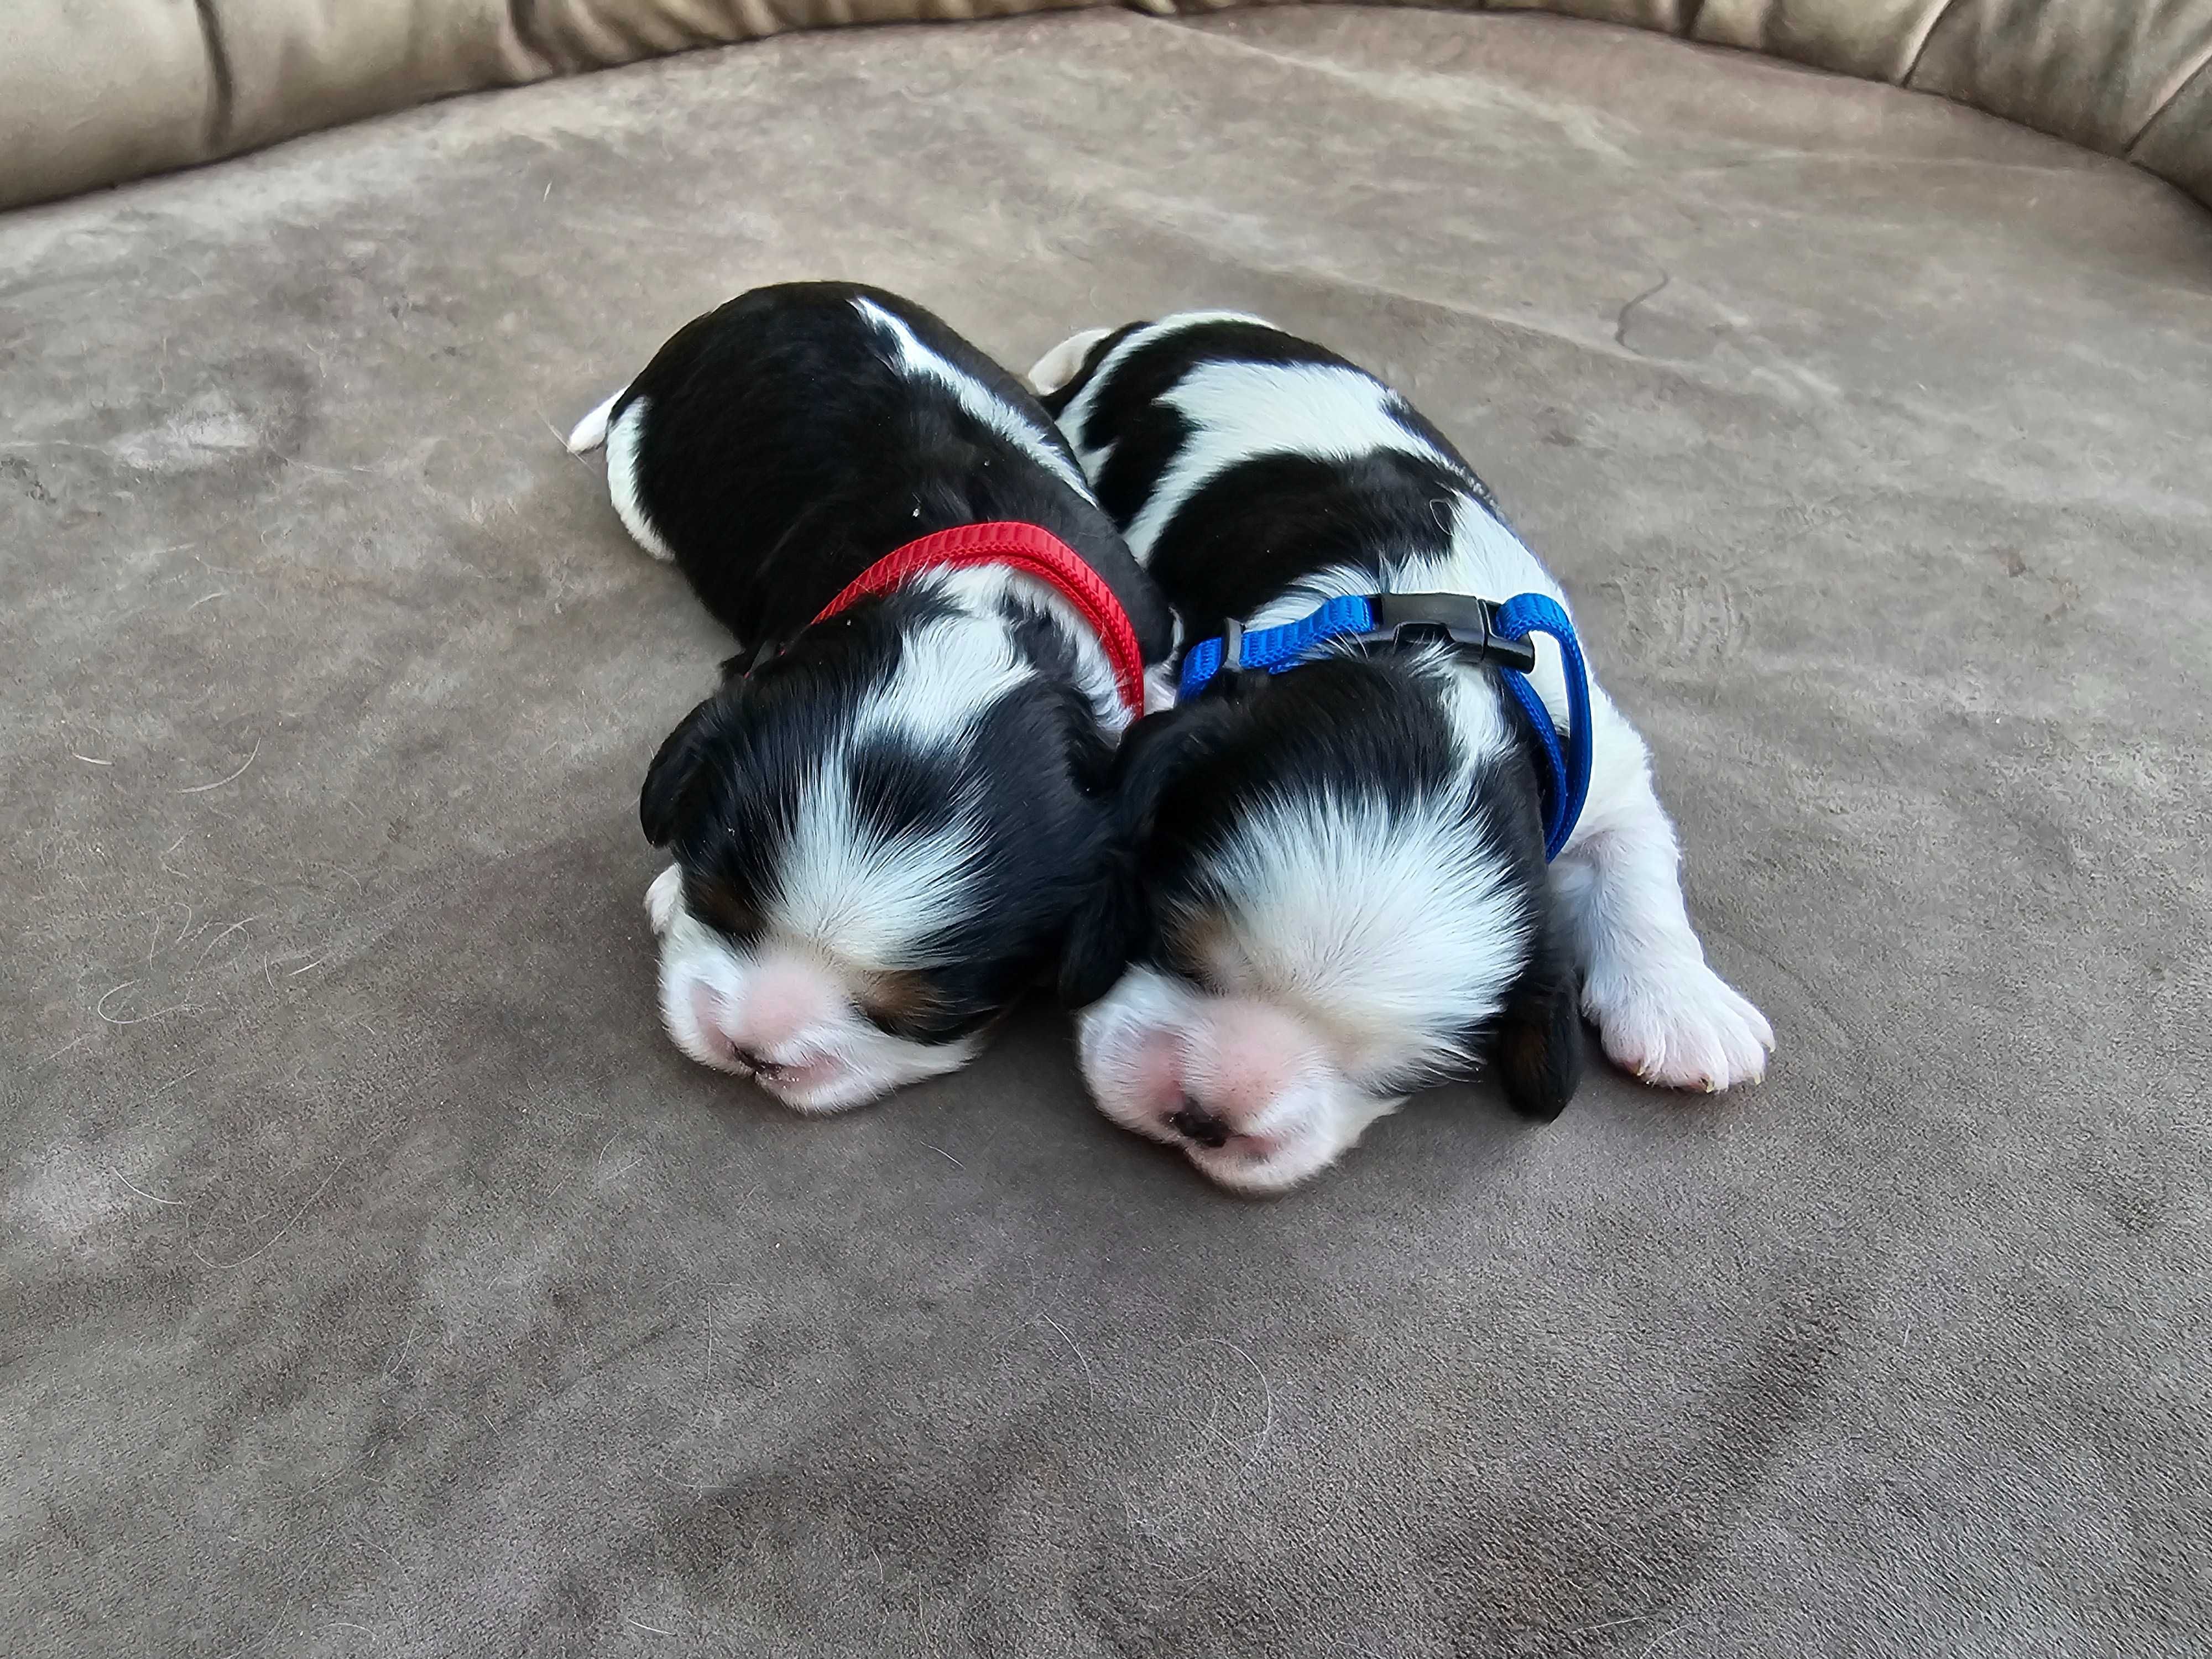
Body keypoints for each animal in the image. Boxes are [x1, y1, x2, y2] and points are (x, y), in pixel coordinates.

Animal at [1026, 312, 1770, 1194]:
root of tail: (1154, 326)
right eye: (1174, 947)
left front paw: (1686, 1009)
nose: (1205, 1117)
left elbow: (1637, 859)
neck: (1427, 649)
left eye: (1396, 1074)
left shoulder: (1599, 760)